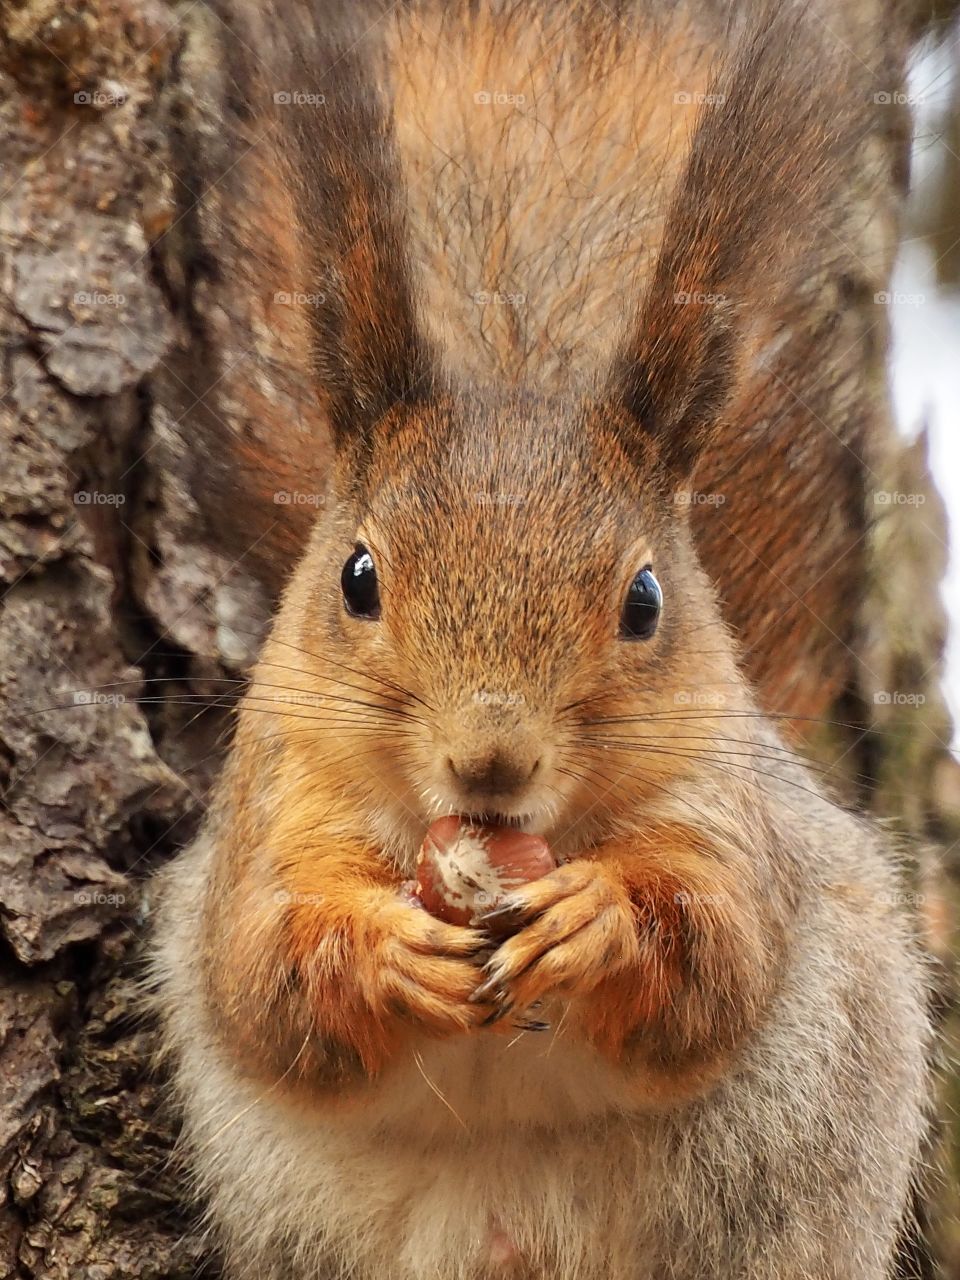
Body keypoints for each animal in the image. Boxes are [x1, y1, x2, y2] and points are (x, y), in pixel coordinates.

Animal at [151, 2, 930, 1278]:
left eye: (646, 600)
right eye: (358, 578)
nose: (491, 761)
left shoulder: (726, 815)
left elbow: (714, 955)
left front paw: (594, 921)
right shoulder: (273, 811)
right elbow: (266, 975)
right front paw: (386, 951)